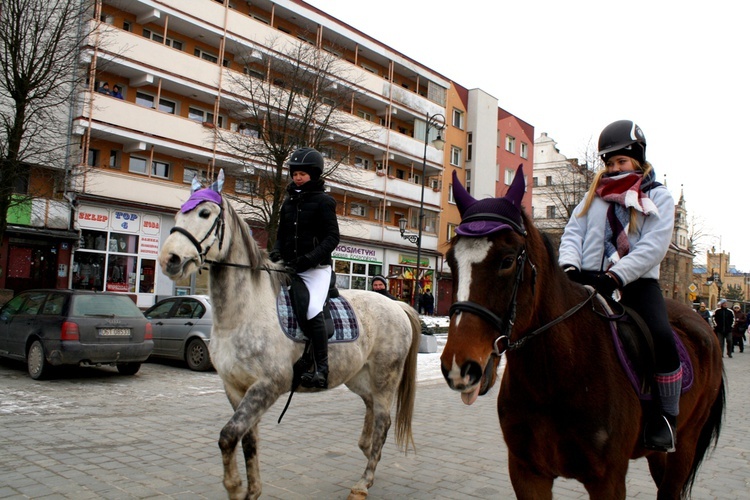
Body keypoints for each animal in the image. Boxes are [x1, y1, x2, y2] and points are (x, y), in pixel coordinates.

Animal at [159, 177, 424, 500]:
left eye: (205, 214)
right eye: (177, 214)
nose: (170, 259)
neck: (242, 313)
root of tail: (397, 306)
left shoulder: (267, 386)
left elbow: (228, 436)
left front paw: (235, 487)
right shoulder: (235, 388)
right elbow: (247, 440)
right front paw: (252, 491)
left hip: (385, 376)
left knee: (383, 421)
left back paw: (363, 482)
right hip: (359, 377)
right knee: (371, 408)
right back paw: (366, 449)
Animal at [444, 169, 724, 500]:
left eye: (507, 261)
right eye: (451, 260)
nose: (460, 367)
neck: (554, 379)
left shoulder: (608, 479)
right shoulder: (527, 472)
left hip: (686, 442)